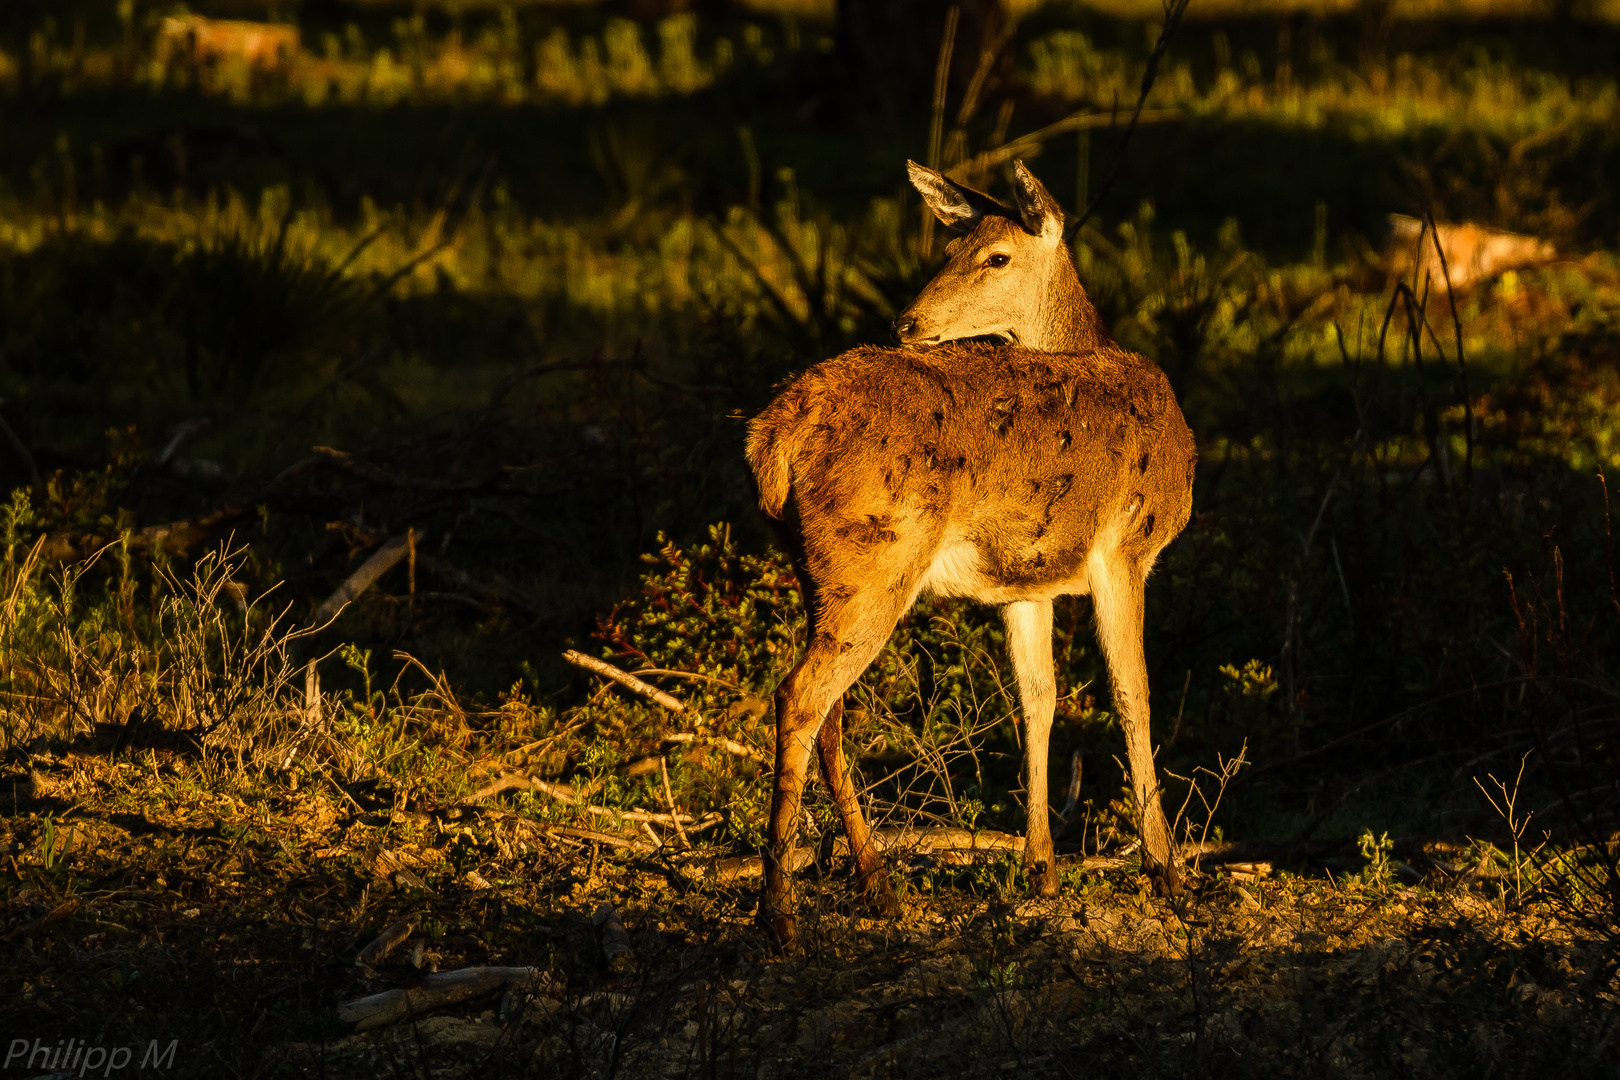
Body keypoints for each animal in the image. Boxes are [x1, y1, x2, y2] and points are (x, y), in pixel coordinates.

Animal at [741, 160, 1192, 945]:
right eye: (947, 249)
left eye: (995, 256)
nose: (906, 322)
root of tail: (770, 438)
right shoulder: (1124, 549)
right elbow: (1132, 695)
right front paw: (1165, 870)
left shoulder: (1029, 582)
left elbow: (1038, 699)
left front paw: (1042, 868)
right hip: (875, 561)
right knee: (799, 698)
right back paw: (780, 911)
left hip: (820, 573)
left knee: (830, 713)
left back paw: (877, 885)